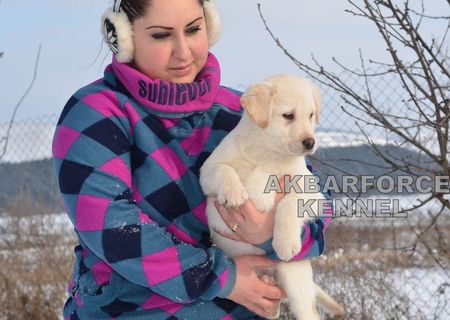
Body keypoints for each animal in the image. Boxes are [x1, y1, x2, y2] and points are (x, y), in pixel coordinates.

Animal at [200, 75, 344, 320]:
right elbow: (224, 170)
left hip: (295, 280)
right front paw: (234, 192)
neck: (268, 153)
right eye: (288, 115)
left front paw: (285, 242)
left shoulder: (312, 192)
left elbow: (288, 202)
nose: (311, 142)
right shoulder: (208, 170)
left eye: (311, 115)